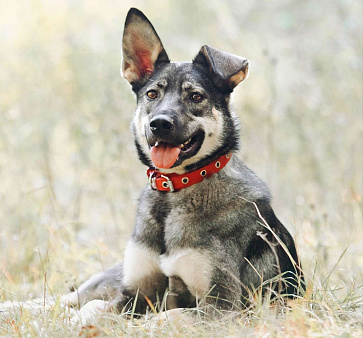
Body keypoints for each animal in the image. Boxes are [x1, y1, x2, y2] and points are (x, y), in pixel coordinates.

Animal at [59, 7, 304, 324]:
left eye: (196, 96)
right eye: (152, 94)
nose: (160, 124)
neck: (175, 190)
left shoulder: (221, 307)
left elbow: (164, 317)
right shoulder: (132, 294)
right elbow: (93, 308)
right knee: (68, 298)